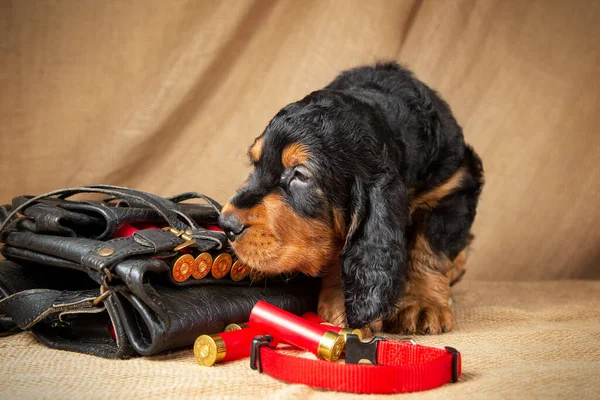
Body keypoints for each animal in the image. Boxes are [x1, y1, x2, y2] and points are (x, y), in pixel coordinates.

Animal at [219, 62, 482, 334]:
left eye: (300, 175)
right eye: (256, 164)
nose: (226, 224)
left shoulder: (452, 187)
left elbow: (429, 251)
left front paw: (422, 303)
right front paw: (342, 304)